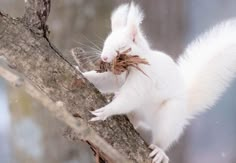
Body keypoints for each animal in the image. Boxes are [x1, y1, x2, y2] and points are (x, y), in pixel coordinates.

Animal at [80, 2, 236, 163]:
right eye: (105, 43)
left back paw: (160, 151)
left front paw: (106, 111)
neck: (131, 68)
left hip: (170, 117)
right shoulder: (117, 76)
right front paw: (83, 73)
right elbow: (105, 81)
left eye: (121, 47)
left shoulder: (144, 80)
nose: (104, 58)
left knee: (163, 139)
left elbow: (130, 98)